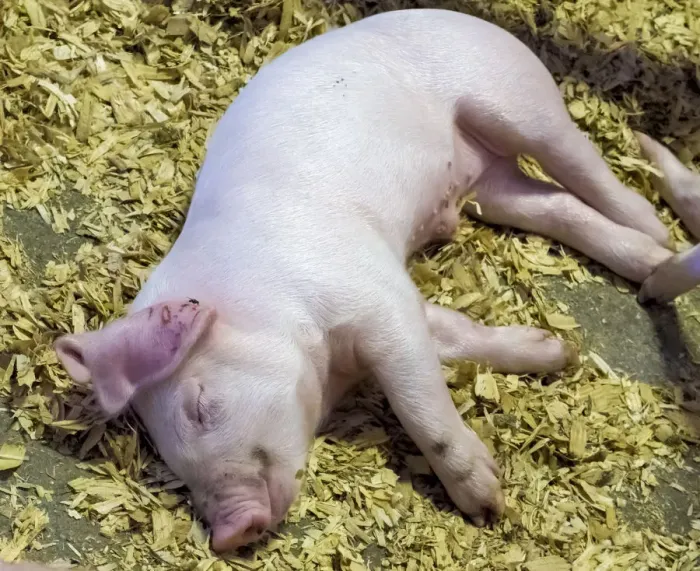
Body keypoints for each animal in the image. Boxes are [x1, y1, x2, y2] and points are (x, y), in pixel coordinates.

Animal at [53, 8, 700, 552]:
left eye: (199, 407)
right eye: (169, 455)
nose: (229, 534)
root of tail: (469, 17)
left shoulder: (368, 294)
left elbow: (418, 401)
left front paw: (488, 506)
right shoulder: (399, 297)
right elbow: (458, 333)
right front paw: (558, 354)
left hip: (519, 105)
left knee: (588, 170)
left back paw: (661, 247)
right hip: (492, 185)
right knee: (557, 206)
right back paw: (648, 270)